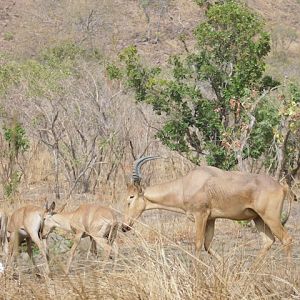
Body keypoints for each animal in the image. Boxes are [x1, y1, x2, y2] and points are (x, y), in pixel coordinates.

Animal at [122, 157, 292, 260]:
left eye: (131, 197)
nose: (124, 227)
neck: (186, 184)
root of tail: (281, 186)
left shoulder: (200, 216)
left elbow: (197, 243)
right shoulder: (211, 219)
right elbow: (207, 244)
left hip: (270, 217)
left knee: (286, 239)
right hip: (258, 218)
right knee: (268, 241)